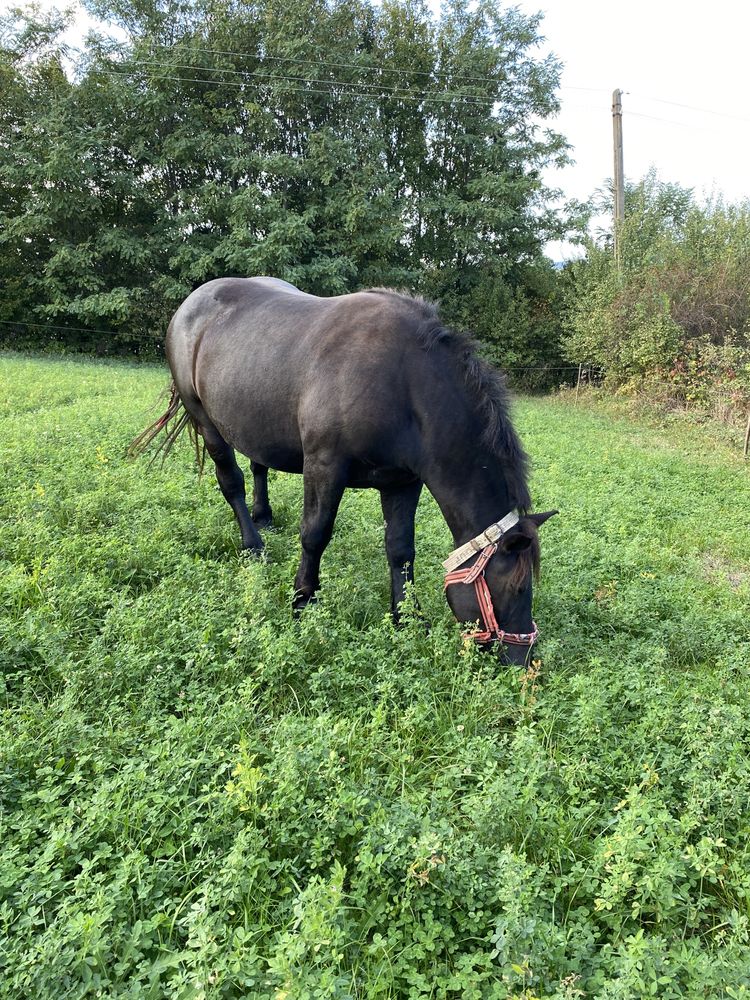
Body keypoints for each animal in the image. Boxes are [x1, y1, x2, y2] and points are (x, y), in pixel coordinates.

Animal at [132, 276, 560, 664]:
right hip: (206, 421)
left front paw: (407, 618)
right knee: (231, 481)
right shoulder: (325, 466)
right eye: (516, 589)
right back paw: (253, 544)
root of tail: (193, 301)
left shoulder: (404, 482)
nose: (524, 660)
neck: (403, 382)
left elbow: (401, 549)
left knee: (258, 466)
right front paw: (302, 602)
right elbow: (315, 535)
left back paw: (264, 516)